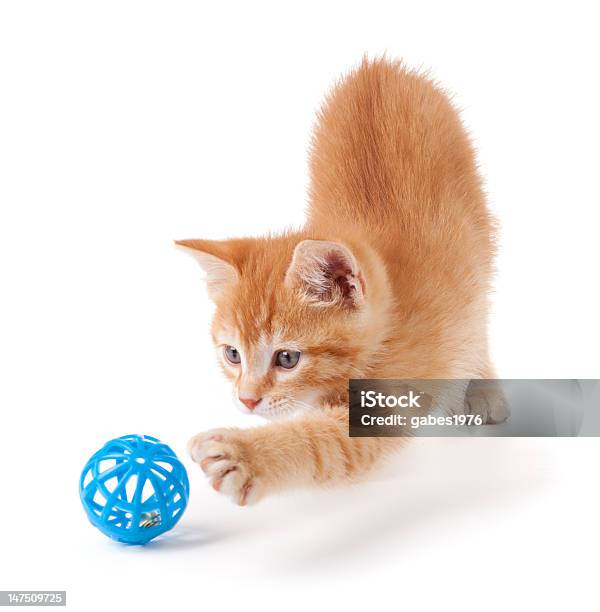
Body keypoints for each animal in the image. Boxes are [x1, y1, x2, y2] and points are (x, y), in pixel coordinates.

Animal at [177, 58, 506, 506]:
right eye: (232, 355)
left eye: (287, 358)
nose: (246, 400)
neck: (388, 323)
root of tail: (381, 66)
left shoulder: (392, 399)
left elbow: (325, 444)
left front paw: (247, 455)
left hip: (479, 239)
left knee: (479, 311)